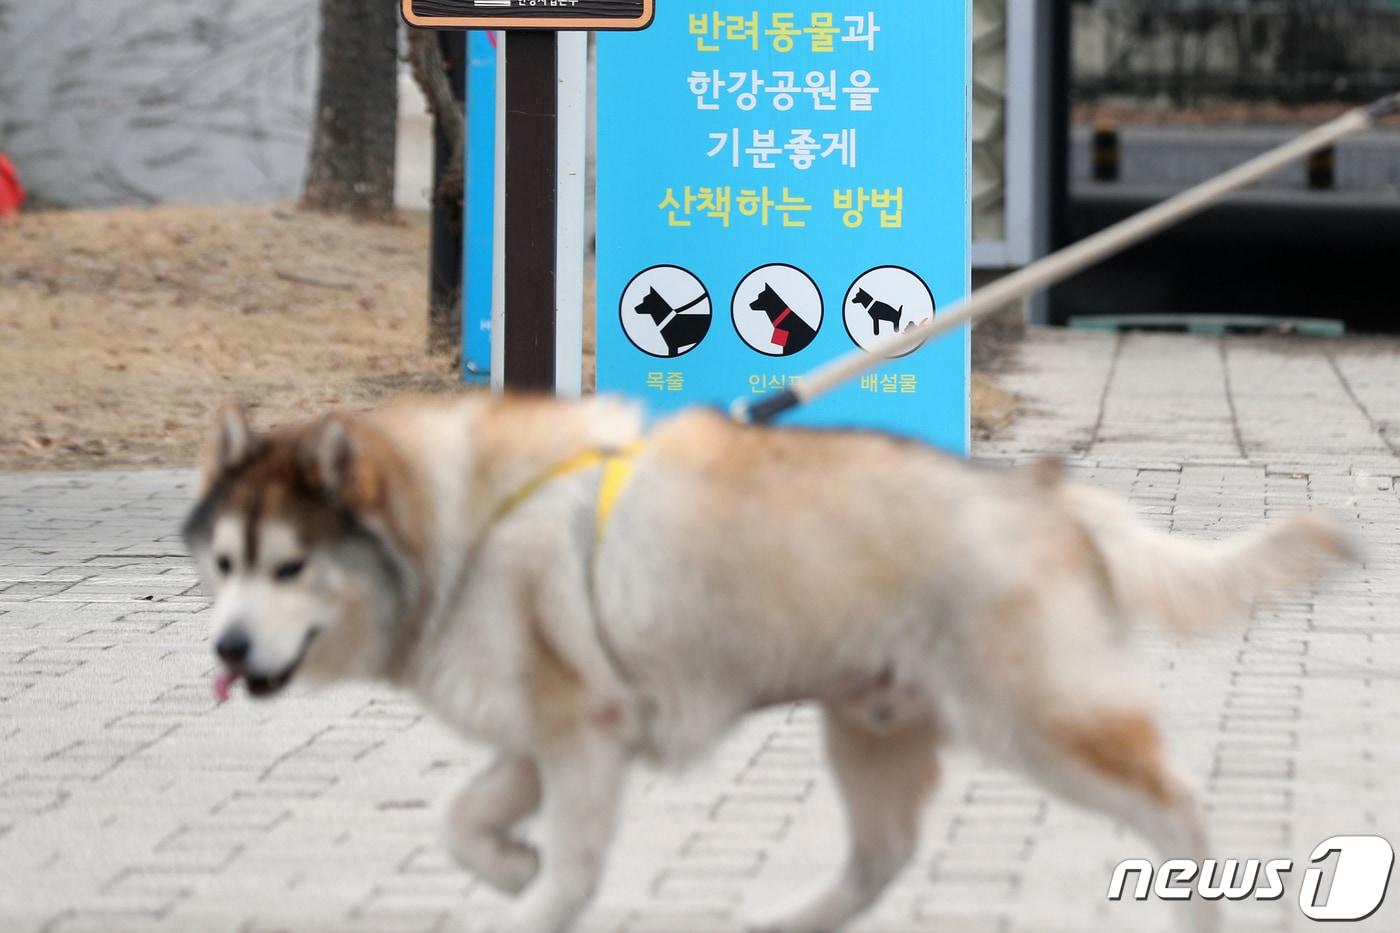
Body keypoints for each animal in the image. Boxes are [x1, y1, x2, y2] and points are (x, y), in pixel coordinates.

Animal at [180, 395, 1349, 930]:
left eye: (290, 567)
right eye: (226, 564)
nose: (225, 649)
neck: (459, 527)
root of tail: (1051, 500)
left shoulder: (581, 743)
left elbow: (568, 869)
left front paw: (529, 889)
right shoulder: (549, 731)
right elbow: (458, 819)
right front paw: (505, 866)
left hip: (1038, 718)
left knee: (1173, 800)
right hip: (870, 725)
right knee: (881, 856)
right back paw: (788, 919)